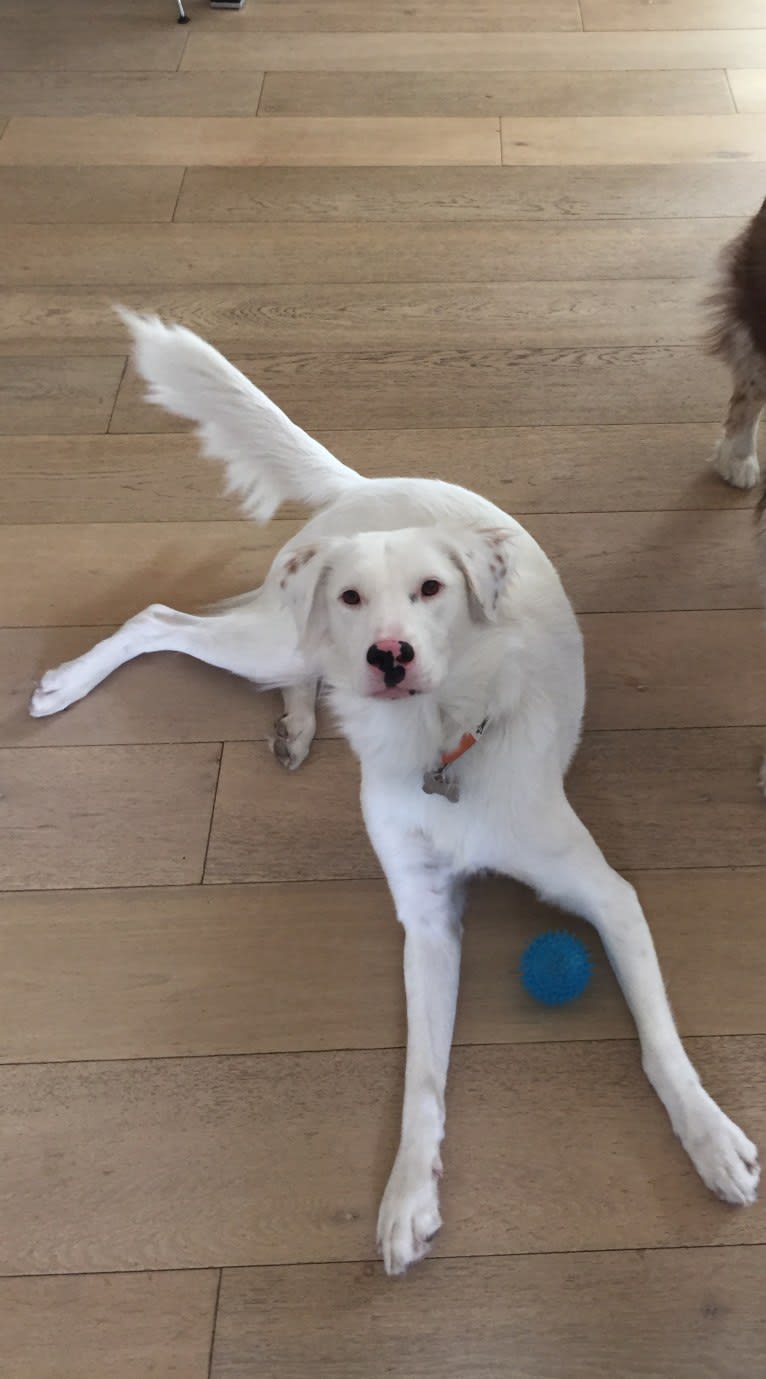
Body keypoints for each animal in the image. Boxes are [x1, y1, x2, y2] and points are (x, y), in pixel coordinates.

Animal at [30, 310, 761, 1268]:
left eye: (431, 589)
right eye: (352, 597)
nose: (388, 656)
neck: (438, 749)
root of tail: (369, 483)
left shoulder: (609, 895)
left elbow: (659, 1043)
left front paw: (710, 1137)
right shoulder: (427, 921)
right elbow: (423, 1076)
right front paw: (409, 1190)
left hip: (279, 639)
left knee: (245, 644)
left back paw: (297, 722)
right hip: (277, 634)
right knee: (165, 621)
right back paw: (70, 685)